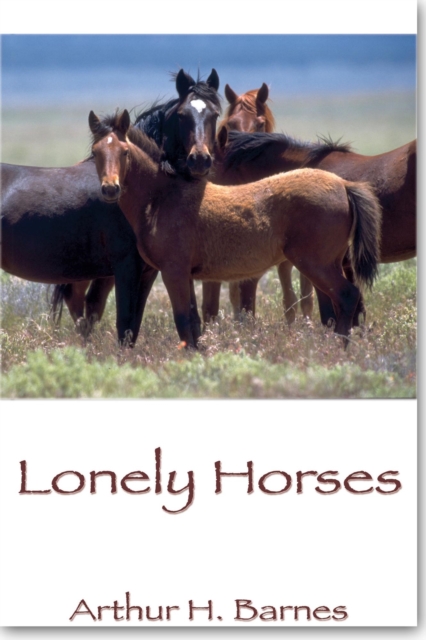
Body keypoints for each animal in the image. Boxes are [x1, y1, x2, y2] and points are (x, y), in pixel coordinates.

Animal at [1, 69, 221, 344]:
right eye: (182, 115)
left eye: (215, 114)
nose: (200, 160)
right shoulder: (126, 266)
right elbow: (124, 323)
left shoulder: (148, 271)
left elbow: (134, 326)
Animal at [89, 109, 382, 349]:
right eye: (95, 153)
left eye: (125, 152)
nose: (110, 189)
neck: (163, 198)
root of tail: (343, 185)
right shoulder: (186, 274)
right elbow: (194, 323)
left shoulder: (173, 271)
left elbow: (183, 322)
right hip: (330, 263)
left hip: (315, 264)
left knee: (346, 297)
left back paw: (340, 350)